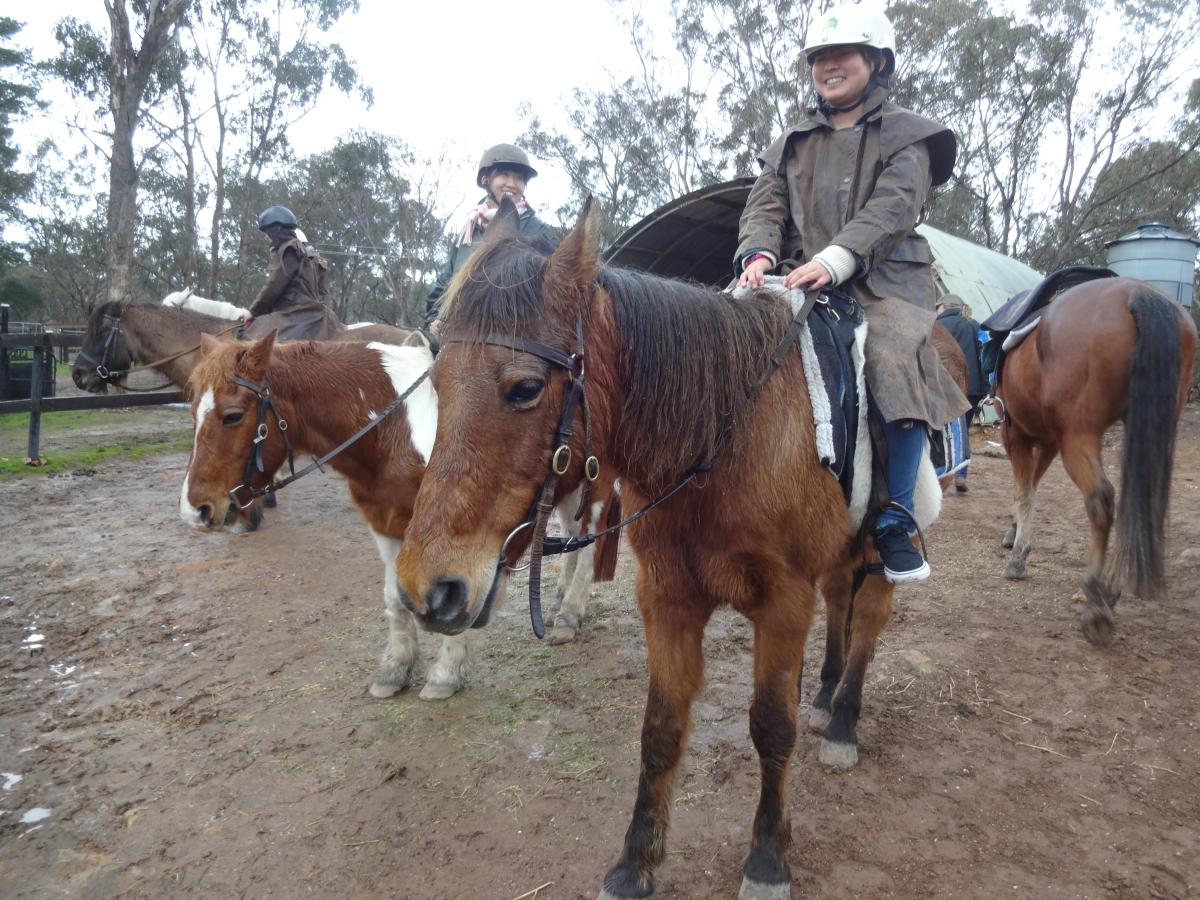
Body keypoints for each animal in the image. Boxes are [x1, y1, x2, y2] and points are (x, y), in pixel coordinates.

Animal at [183, 331, 619, 696]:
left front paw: (446, 674)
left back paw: (569, 614)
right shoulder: (387, 525)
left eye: (233, 415)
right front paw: (394, 669)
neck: (394, 430)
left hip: (593, 485)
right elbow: (396, 598)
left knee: (588, 543)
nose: (195, 509)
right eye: (192, 412)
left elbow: (454, 598)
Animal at [388, 200, 960, 897]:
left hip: (880, 553)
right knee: (840, 608)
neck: (726, 436)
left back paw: (844, 722)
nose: (428, 588)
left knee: (869, 625)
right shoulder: (666, 597)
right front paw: (635, 863)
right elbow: (660, 730)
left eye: (524, 388)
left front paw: (767, 860)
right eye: (436, 384)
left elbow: (772, 727)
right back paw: (825, 695)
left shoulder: (783, 603)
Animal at [998, 278, 1195, 643]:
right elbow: (1033, 486)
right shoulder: (1049, 440)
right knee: (1137, 504)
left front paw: (1017, 556)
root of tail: (1139, 293)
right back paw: (1110, 591)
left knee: (1101, 499)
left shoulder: (1018, 435)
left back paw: (1095, 600)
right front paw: (1015, 534)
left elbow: (1025, 491)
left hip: (1079, 437)